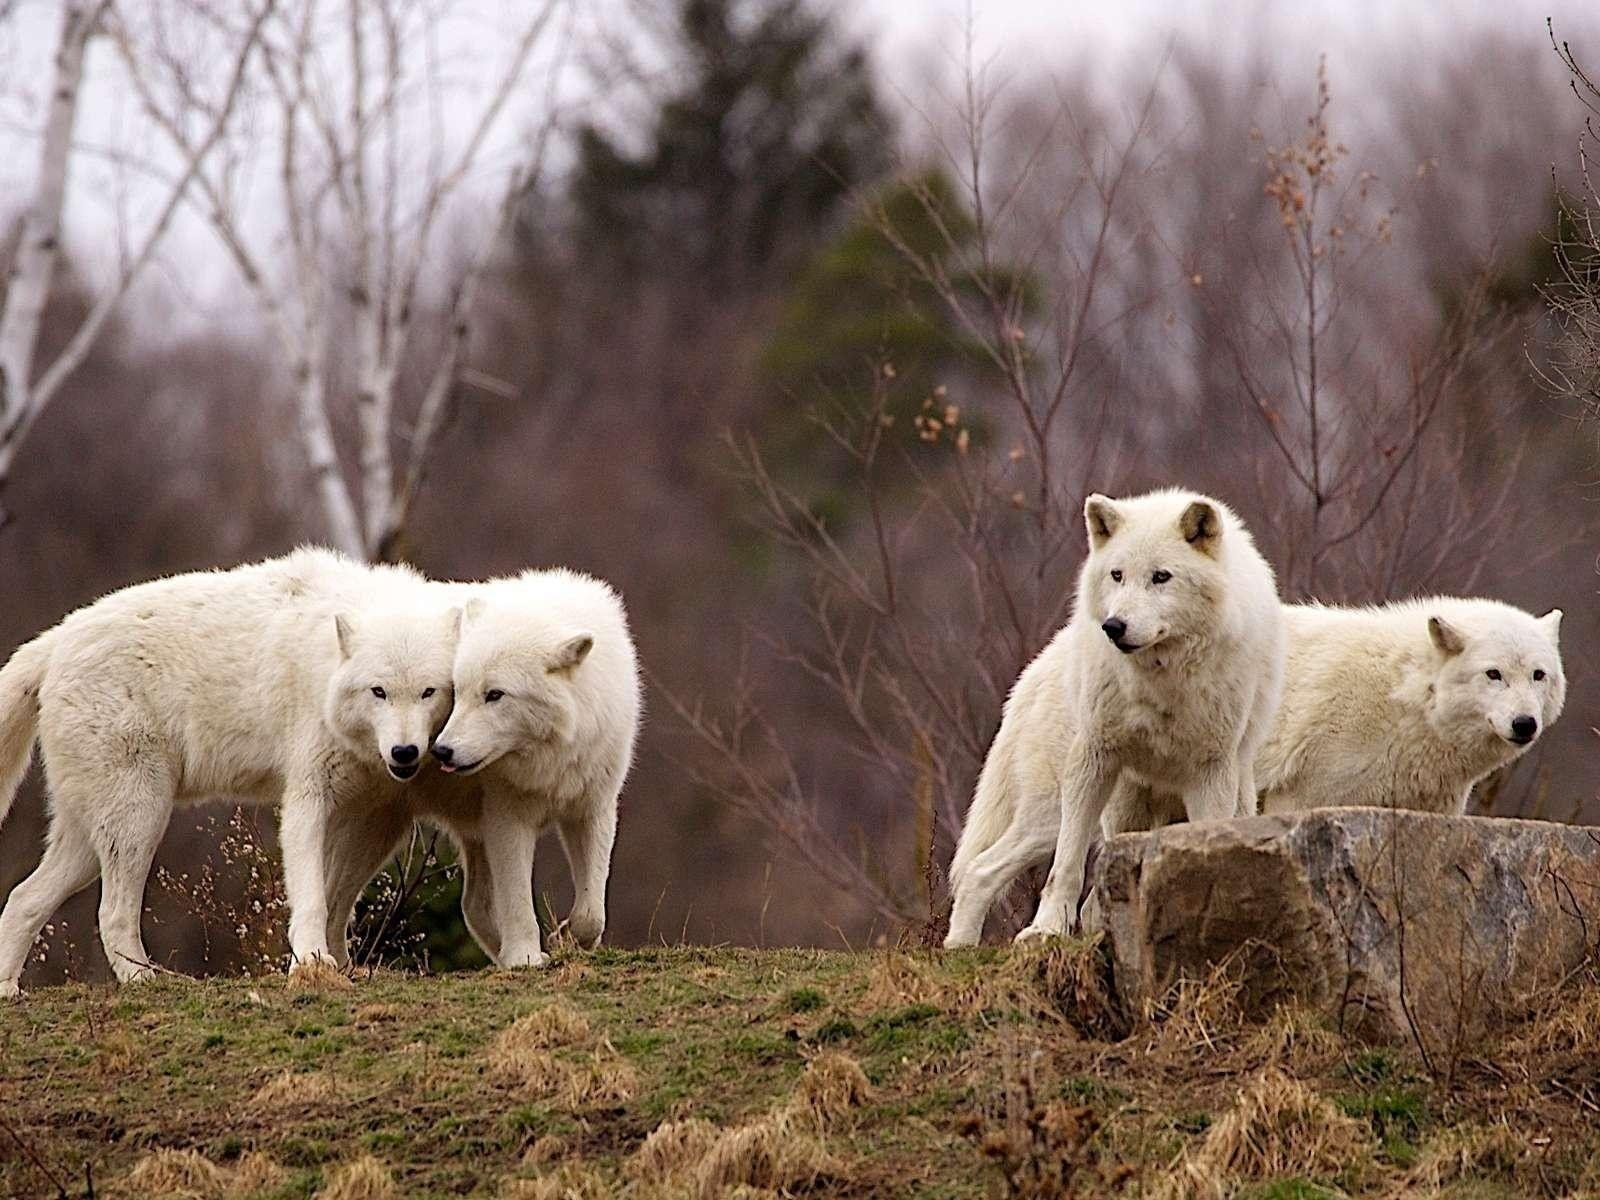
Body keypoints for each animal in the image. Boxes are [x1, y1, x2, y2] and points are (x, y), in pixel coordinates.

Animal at [0, 550, 457, 992]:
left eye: (428, 692)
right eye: (378, 692)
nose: (404, 752)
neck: (325, 666)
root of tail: (57, 637)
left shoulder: (377, 818)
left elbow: (337, 899)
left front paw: (340, 966)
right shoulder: (308, 796)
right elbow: (312, 896)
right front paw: (311, 965)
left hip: (90, 839)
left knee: (22, 900)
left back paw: (9, 990)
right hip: (139, 820)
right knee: (110, 913)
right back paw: (145, 980)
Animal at [940, 489, 1280, 947]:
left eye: (1161, 577)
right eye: (1117, 575)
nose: (1113, 626)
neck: (1159, 680)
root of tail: (1034, 669)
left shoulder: (1212, 772)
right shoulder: (1094, 756)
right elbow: (1065, 866)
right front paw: (1045, 929)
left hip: (1221, 791)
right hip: (1065, 812)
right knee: (982, 869)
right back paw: (959, 946)